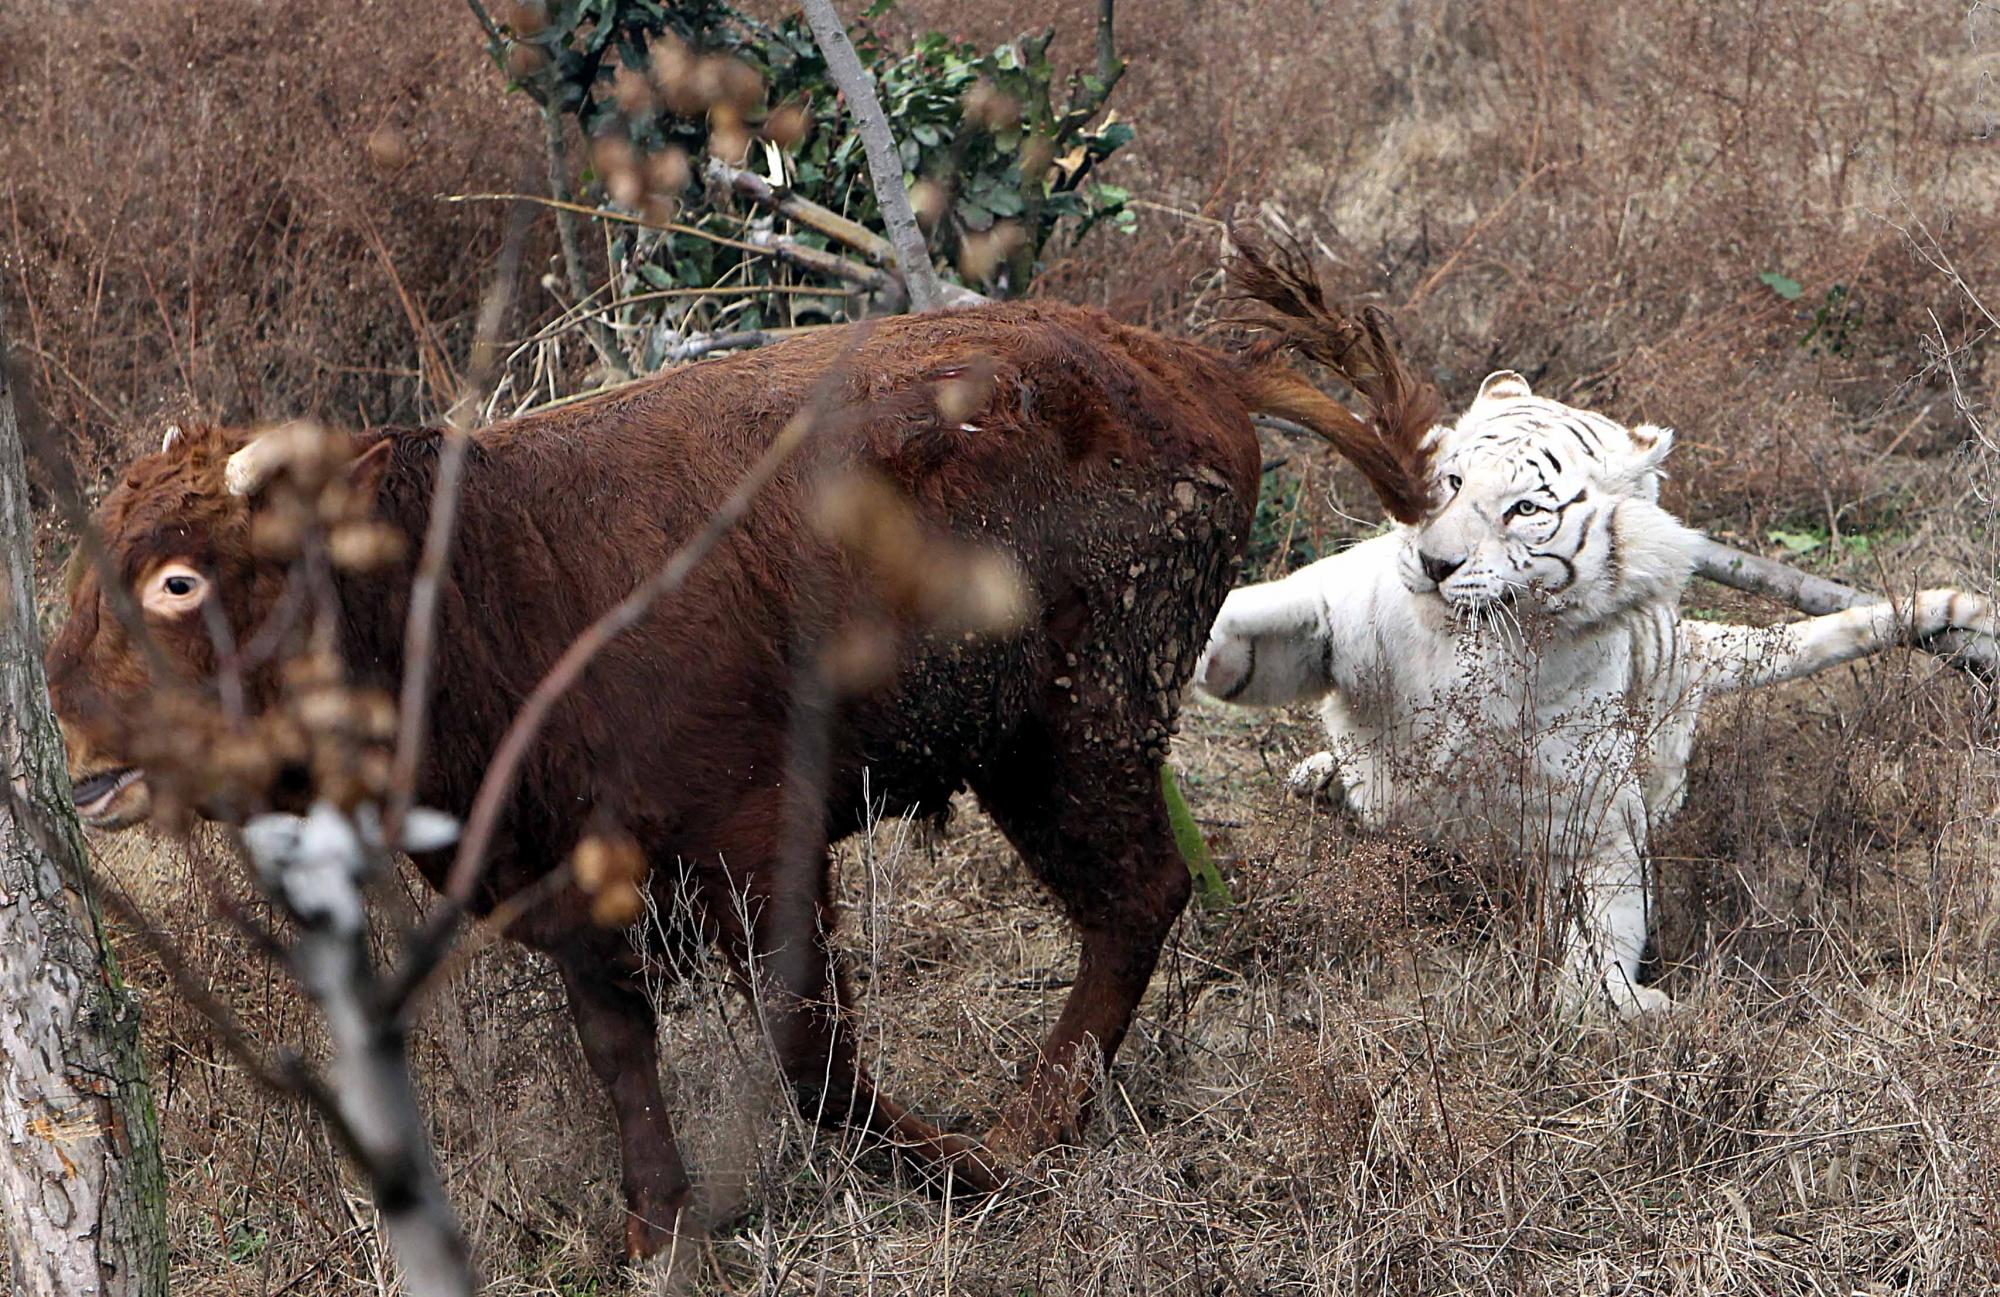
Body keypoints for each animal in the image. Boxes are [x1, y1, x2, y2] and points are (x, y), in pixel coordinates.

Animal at [1192, 370, 1992, 1016]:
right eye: (1451, 483)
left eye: (1524, 510)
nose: (1433, 562)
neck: (1476, 640)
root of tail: (1693, 642)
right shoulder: (1337, 618)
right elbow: (1262, 623)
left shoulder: (1597, 809)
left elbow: (1606, 919)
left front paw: (1608, 998)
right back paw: (1320, 777)